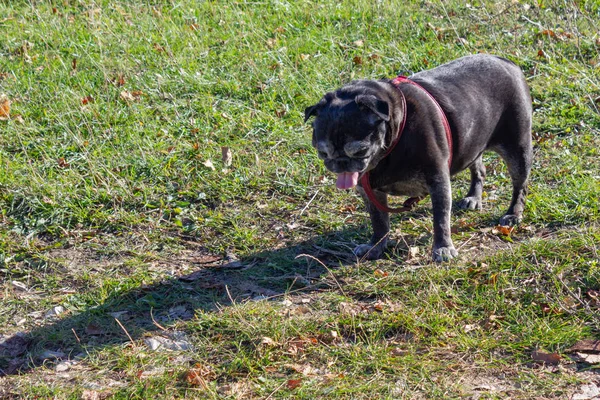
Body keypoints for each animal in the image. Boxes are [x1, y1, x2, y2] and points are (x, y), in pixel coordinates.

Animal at [308, 55, 532, 262]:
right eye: (323, 153)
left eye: (360, 151)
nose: (341, 163)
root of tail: (505, 61)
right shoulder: (370, 192)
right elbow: (379, 221)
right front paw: (376, 246)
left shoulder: (438, 182)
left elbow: (440, 219)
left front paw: (442, 248)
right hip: (472, 143)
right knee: (478, 168)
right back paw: (474, 197)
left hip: (517, 150)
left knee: (519, 186)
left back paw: (513, 213)